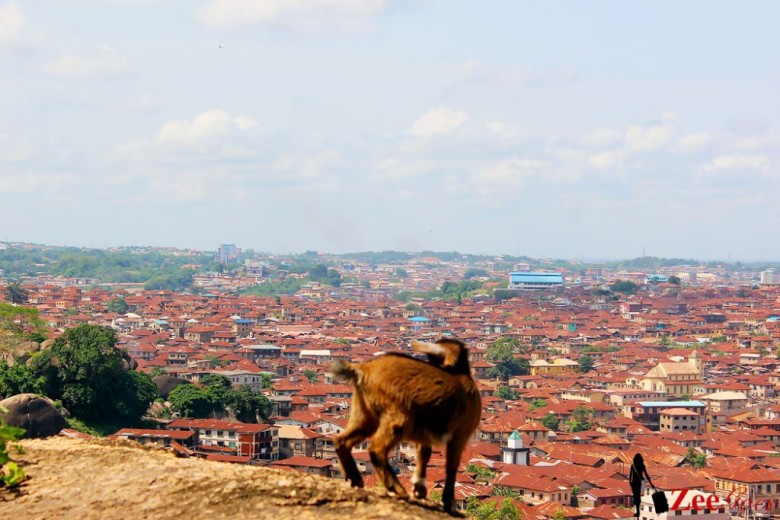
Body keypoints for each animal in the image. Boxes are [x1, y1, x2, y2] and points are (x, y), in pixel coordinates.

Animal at [326, 338, 478, 512]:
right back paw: (397, 488)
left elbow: (424, 454)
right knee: (376, 449)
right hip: (398, 418)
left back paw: (356, 480)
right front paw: (448, 502)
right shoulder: (460, 434)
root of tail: (362, 369)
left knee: (342, 441)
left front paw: (419, 489)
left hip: (364, 415)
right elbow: (451, 466)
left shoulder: (424, 434)